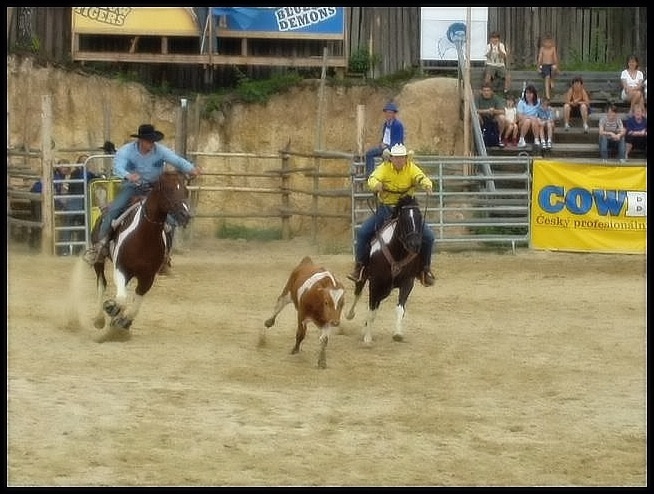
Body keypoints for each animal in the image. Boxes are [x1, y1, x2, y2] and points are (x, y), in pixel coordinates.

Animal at [90, 172, 192, 342]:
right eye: (168, 189)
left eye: (184, 189)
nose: (186, 215)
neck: (143, 235)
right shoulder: (121, 269)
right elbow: (121, 299)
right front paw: (111, 308)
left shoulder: (147, 277)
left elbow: (134, 305)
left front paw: (123, 322)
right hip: (99, 261)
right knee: (101, 283)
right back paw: (99, 318)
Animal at [348, 195, 426, 346]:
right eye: (404, 219)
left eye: (419, 216)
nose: (415, 244)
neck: (397, 251)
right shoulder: (375, 283)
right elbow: (372, 311)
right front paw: (367, 338)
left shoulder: (407, 282)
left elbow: (400, 308)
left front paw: (398, 334)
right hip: (365, 278)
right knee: (358, 294)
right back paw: (350, 315)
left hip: (386, 289)